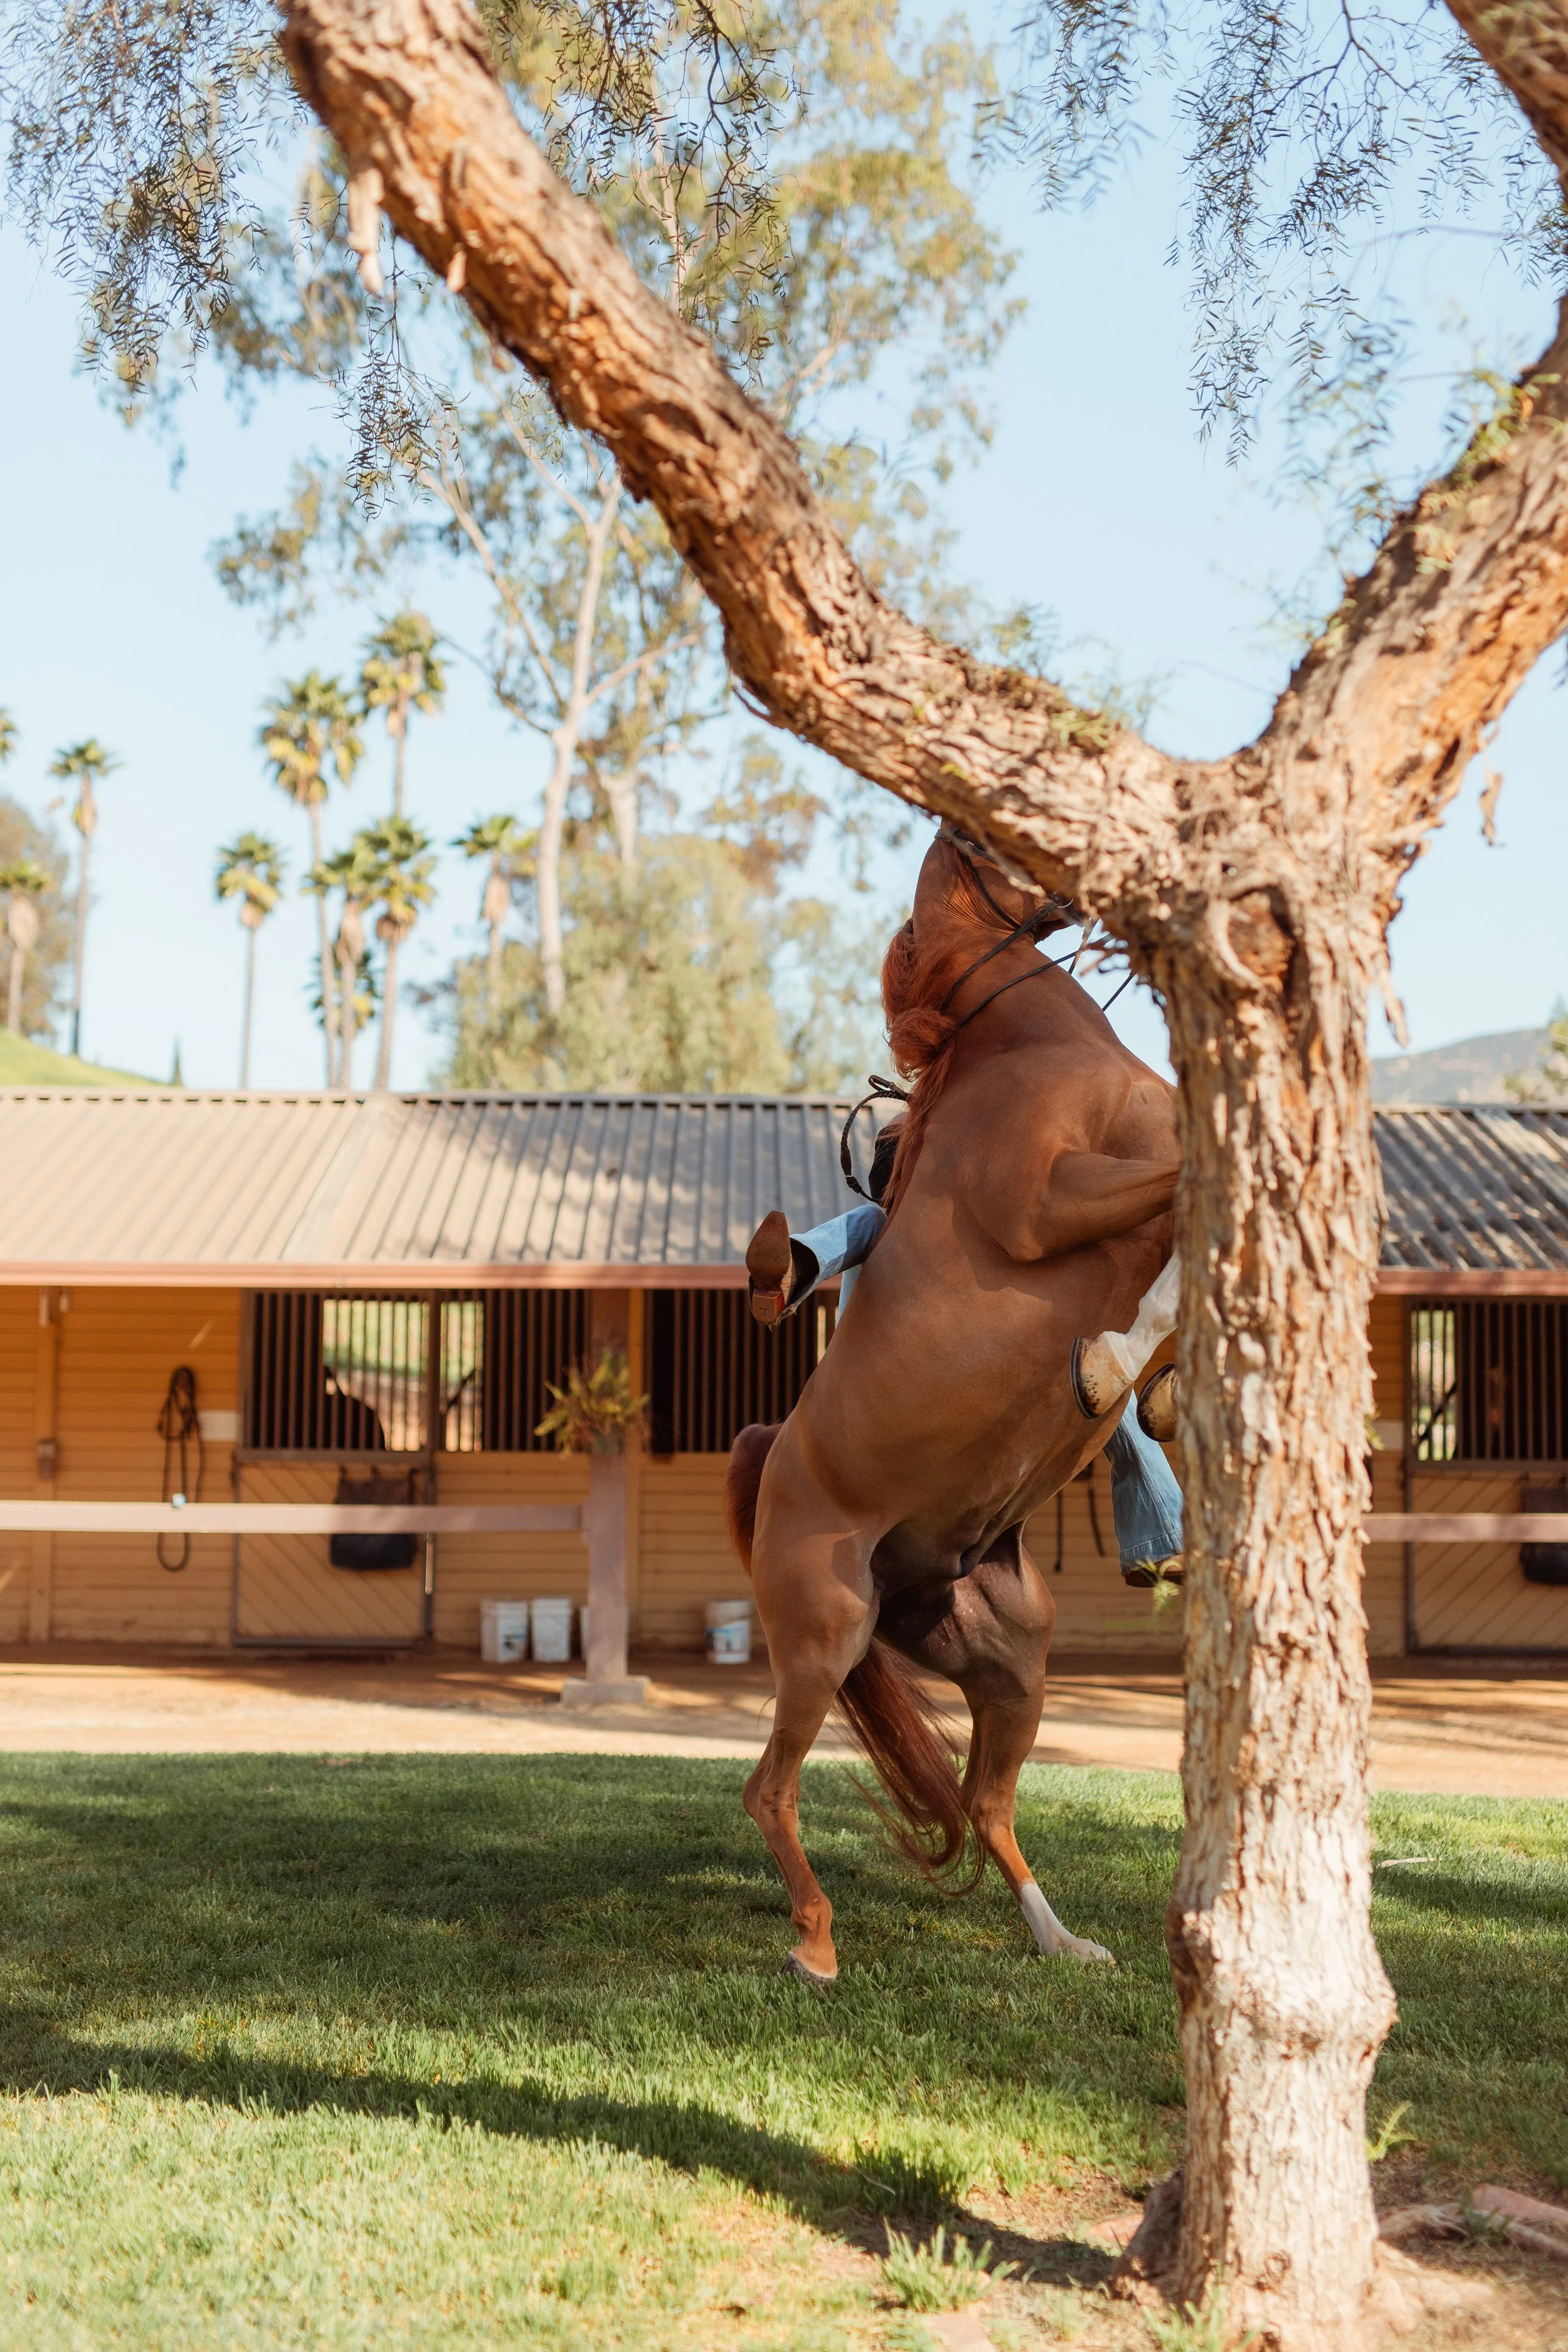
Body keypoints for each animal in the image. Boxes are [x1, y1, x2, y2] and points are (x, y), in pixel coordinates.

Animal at [726, 825, 1183, 1983]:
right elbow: (1183, 1202)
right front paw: (1110, 1365)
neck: (1021, 1052)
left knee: (985, 1806)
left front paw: (1137, 1385)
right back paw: (816, 1945)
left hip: (1012, 1663)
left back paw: (1063, 1942)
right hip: (826, 1638)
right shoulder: (1051, 1204)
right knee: (768, 1790)